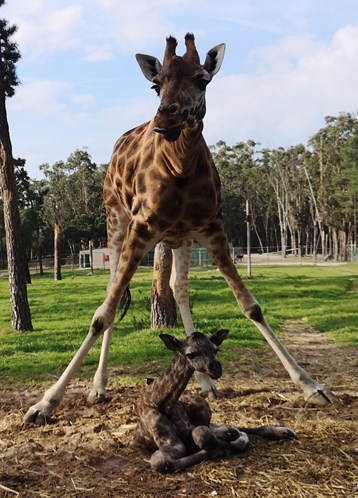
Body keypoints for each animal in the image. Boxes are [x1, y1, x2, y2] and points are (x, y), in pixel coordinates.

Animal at [23, 34, 334, 424]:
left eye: (202, 80)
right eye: (156, 85)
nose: (164, 119)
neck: (180, 167)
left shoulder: (212, 227)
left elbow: (250, 306)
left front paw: (312, 386)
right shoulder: (140, 228)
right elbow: (102, 315)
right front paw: (45, 402)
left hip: (180, 239)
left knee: (177, 288)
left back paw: (204, 383)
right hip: (115, 220)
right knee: (114, 290)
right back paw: (99, 386)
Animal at [136, 330, 296, 474]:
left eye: (216, 349)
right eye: (190, 354)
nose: (216, 368)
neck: (161, 403)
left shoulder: (190, 428)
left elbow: (203, 433)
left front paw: (226, 441)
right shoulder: (171, 444)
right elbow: (163, 462)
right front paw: (224, 445)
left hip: (202, 406)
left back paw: (283, 432)